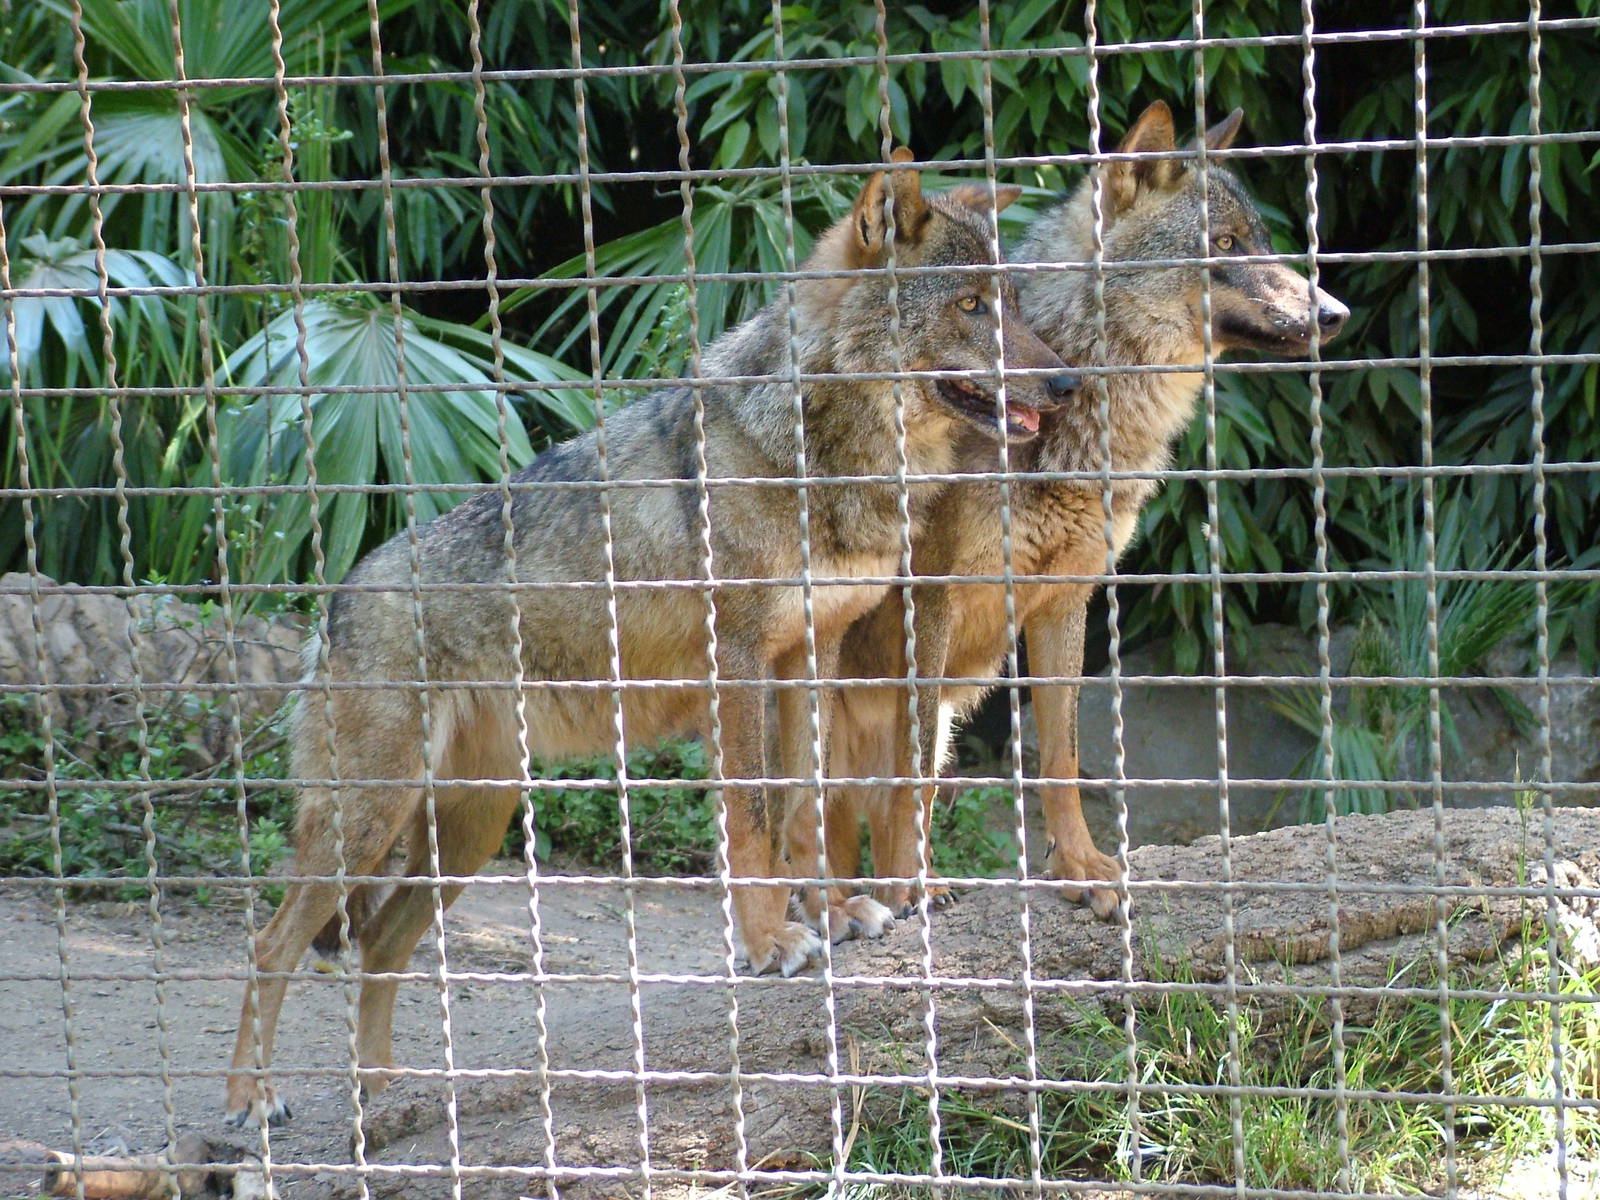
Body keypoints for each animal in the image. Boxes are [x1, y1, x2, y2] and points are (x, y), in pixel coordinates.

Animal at [224, 150, 1079, 1125]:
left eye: (1011, 301)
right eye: (971, 304)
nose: (1068, 386)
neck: (821, 453)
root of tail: (332, 606)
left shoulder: (809, 656)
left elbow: (804, 806)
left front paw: (827, 915)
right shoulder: (737, 661)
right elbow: (752, 820)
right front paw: (770, 942)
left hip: (468, 831)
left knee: (379, 944)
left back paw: (389, 1094)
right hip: (373, 820)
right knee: (272, 944)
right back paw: (253, 1101)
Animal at [799, 101, 1350, 929]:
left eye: (1260, 239)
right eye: (1224, 245)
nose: (1335, 313)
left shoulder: (1066, 598)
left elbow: (1061, 756)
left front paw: (1081, 869)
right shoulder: (929, 600)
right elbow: (912, 778)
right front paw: (910, 889)